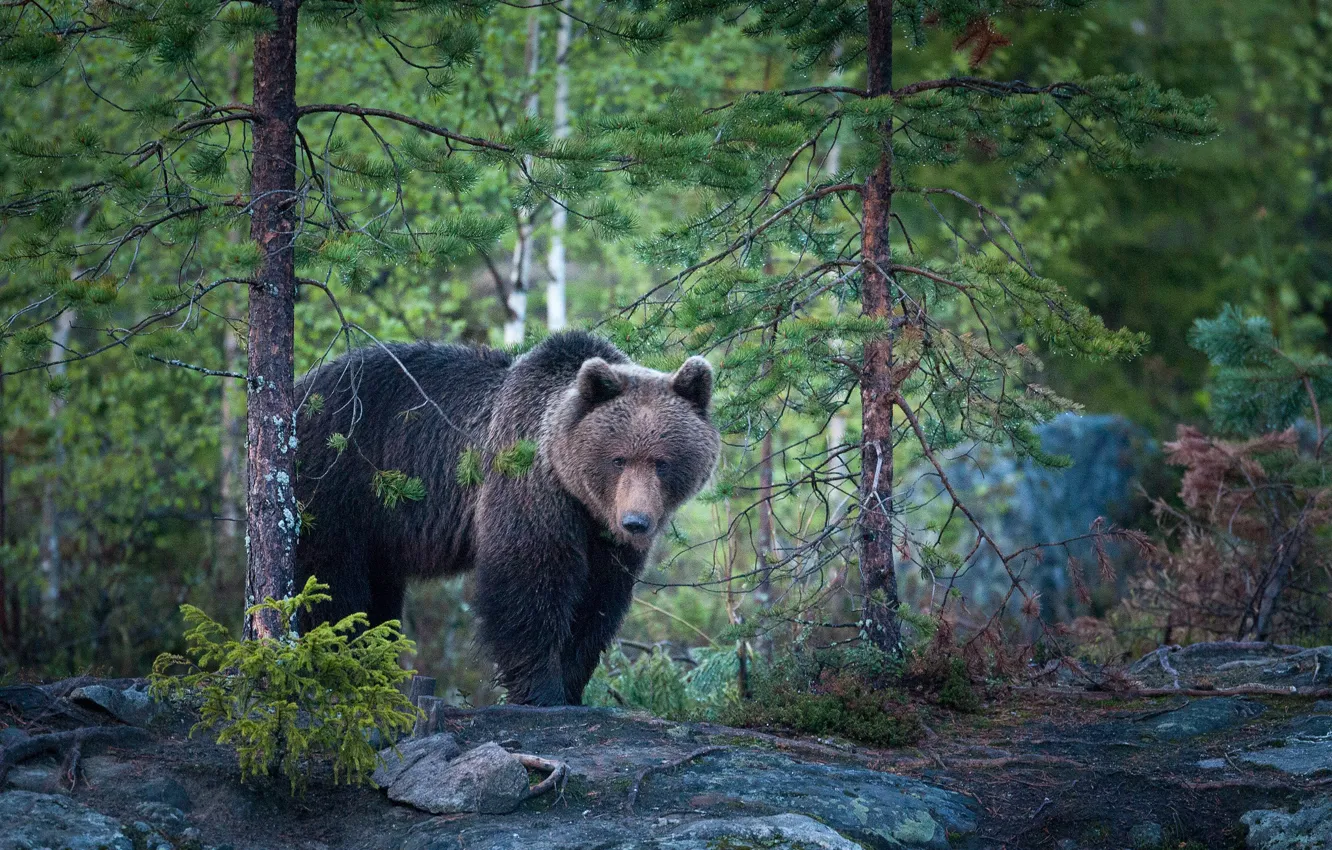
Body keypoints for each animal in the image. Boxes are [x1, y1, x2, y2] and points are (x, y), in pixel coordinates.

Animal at [293, 331, 721, 705]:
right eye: (618, 459)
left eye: (662, 462)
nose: (635, 522)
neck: (575, 491)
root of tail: (302, 387)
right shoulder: (529, 487)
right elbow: (528, 581)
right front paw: (542, 692)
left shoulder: (602, 535)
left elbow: (599, 599)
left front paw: (572, 687)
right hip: (336, 486)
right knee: (334, 583)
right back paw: (345, 661)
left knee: (380, 592)